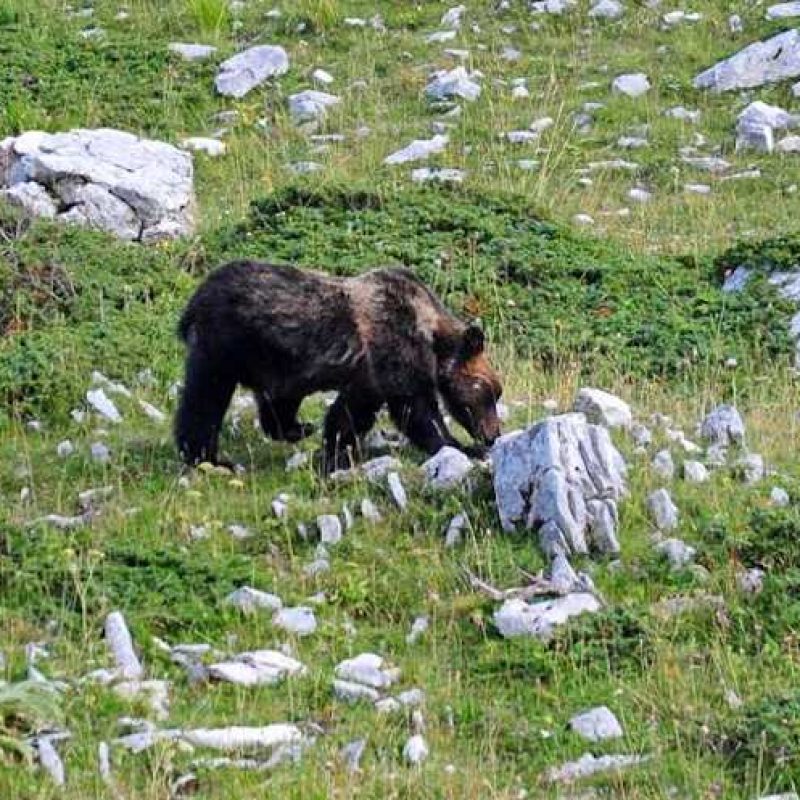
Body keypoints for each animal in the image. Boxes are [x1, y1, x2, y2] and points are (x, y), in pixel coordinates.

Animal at [175, 262, 504, 472]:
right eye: (490, 392)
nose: (494, 434)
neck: (432, 336)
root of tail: (195, 299)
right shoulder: (395, 346)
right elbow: (417, 411)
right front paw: (459, 445)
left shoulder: (369, 375)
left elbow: (350, 414)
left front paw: (335, 450)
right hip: (224, 346)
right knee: (204, 399)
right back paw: (207, 457)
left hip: (275, 360)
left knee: (276, 403)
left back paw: (296, 428)